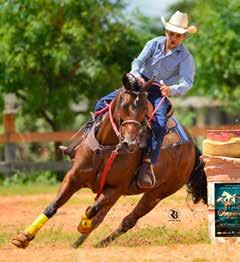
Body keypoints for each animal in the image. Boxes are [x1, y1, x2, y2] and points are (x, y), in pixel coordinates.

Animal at [11, 73, 207, 248]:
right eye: (124, 104)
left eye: (145, 109)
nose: (130, 143)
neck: (107, 148)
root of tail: (191, 147)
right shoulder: (73, 178)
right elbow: (54, 206)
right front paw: (23, 237)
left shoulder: (115, 189)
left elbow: (93, 210)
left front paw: (84, 224)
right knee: (105, 217)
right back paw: (77, 244)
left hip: (156, 194)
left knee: (128, 221)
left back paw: (100, 243)